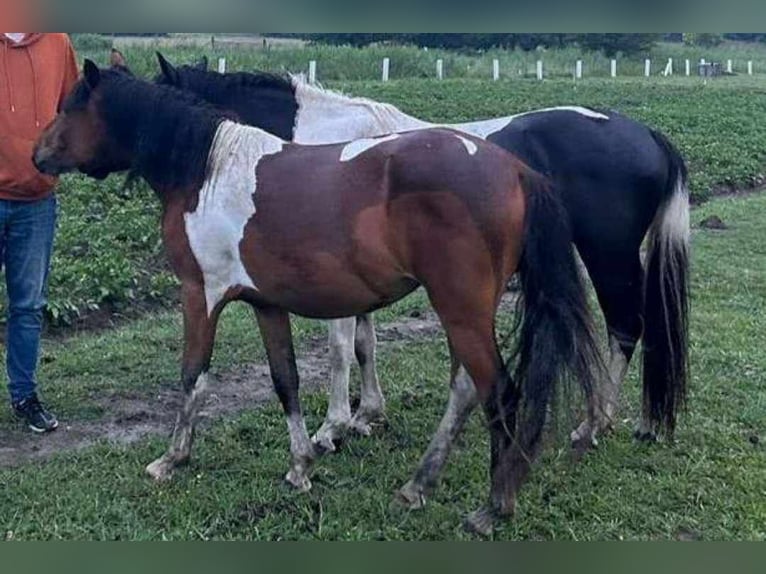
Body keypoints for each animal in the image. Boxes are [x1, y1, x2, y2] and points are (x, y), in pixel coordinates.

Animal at [31, 63, 608, 536]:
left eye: (70, 105)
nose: (37, 155)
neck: (208, 172)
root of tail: (515, 170)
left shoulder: (201, 294)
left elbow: (194, 377)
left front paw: (172, 460)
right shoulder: (266, 304)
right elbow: (285, 380)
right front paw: (301, 466)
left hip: (461, 310)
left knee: (499, 394)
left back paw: (493, 505)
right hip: (465, 313)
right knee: (466, 388)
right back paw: (418, 486)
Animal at [153, 54, 692, 510]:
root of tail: (647, 133)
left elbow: (339, 349)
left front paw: (332, 429)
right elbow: (365, 343)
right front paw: (368, 415)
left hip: (608, 255)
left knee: (625, 327)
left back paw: (592, 424)